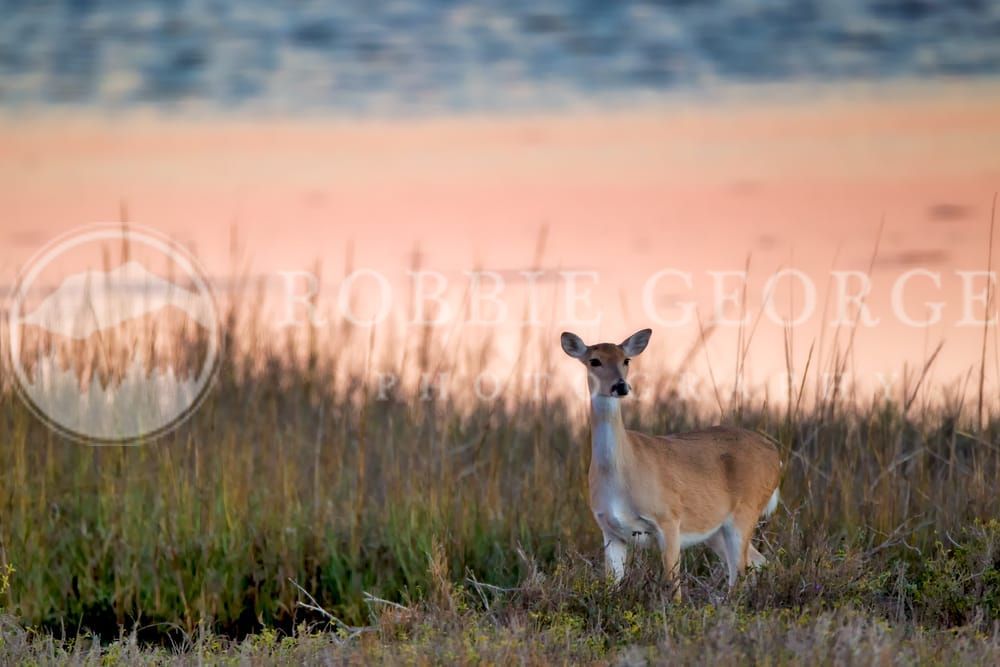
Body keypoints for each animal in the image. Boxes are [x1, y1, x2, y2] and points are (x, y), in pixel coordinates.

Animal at [561, 328, 781, 599]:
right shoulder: (610, 530)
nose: (620, 386)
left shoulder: (669, 518)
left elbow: (672, 583)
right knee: (759, 562)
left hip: (745, 511)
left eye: (626, 360)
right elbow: (612, 584)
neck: (620, 473)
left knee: (740, 572)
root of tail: (776, 455)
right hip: (715, 529)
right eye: (594, 361)